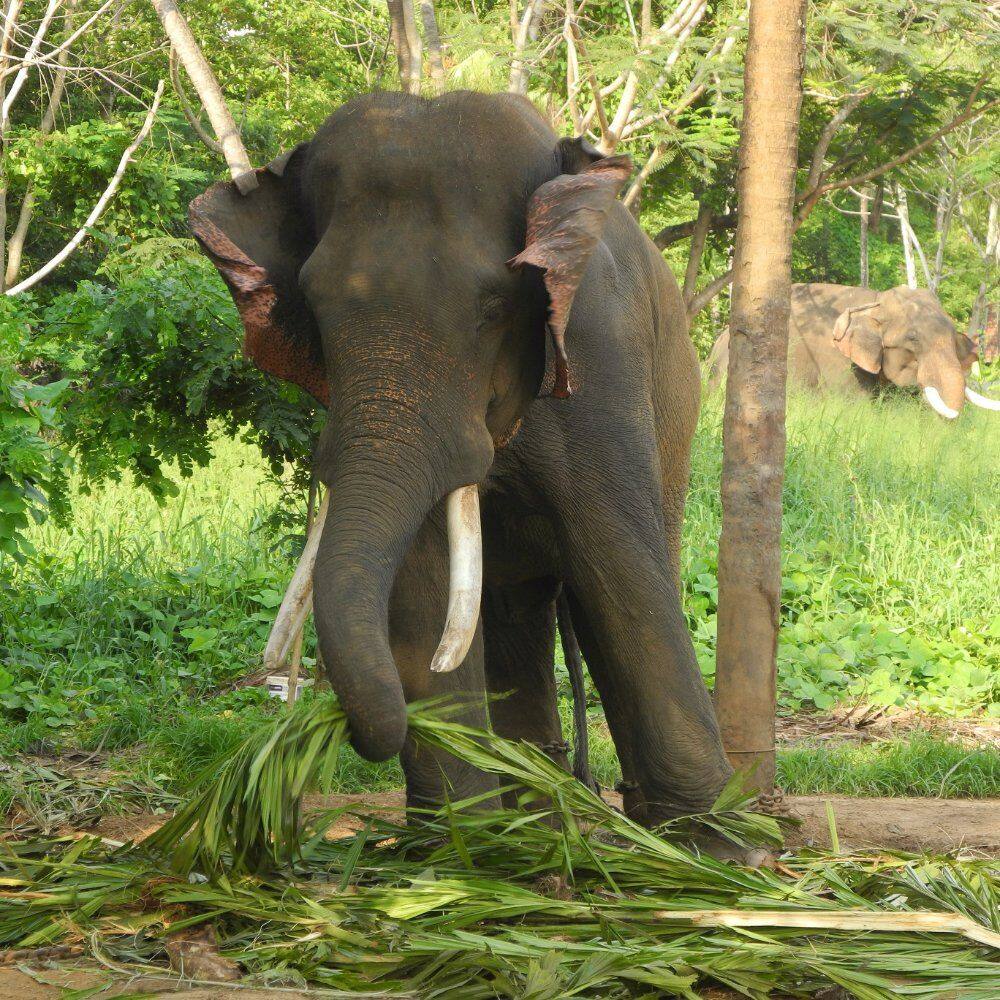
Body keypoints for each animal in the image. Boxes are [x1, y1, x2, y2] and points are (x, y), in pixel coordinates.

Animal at [190, 90, 733, 829]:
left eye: (494, 307)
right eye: (317, 308)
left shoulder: (600, 354)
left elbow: (616, 559)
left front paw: (720, 843)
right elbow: (421, 583)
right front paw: (470, 845)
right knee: (511, 609)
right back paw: (538, 818)